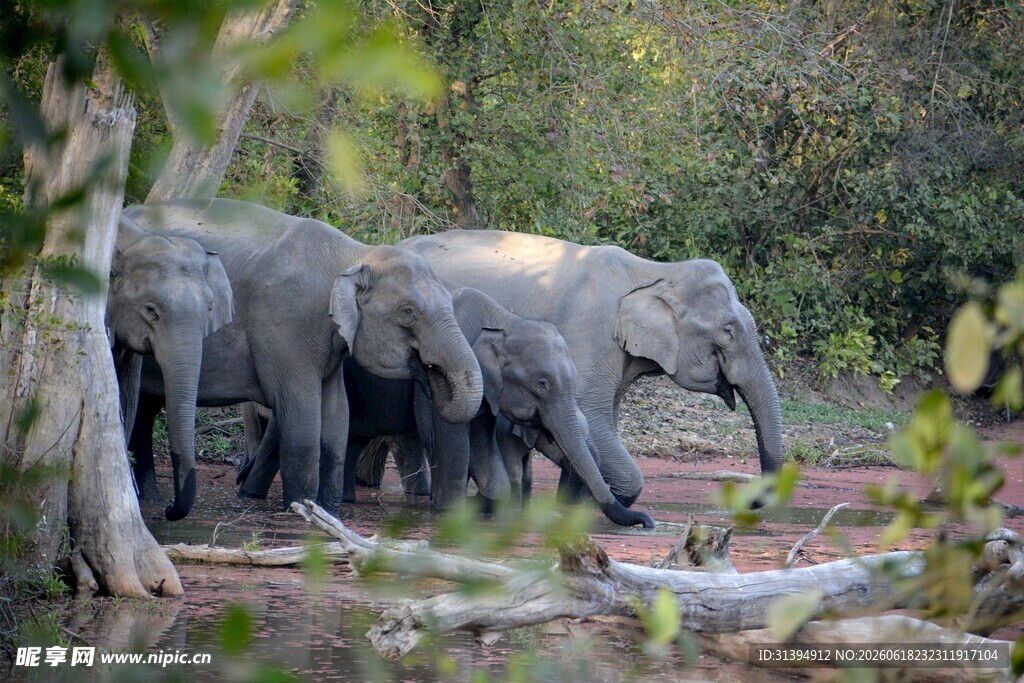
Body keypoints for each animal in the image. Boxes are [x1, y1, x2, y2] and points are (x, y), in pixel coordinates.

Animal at [122, 198, 483, 514]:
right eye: (408, 313)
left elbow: (337, 417)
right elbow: (302, 417)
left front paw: (330, 512)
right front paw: (302, 509)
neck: (354, 255)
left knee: (144, 410)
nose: (431, 372)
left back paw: (152, 501)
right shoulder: (287, 325)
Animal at [236, 284, 656, 528]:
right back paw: (252, 495)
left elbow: (483, 445)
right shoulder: (441, 371)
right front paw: (452, 512)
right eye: (542, 384)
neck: (504, 319)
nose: (648, 522)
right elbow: (450, 440)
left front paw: (492, 509)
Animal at [404, 230, 784, 508]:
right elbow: (593, 419)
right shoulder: (590, 334)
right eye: (727, 332)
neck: (656, 272)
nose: (751, 503)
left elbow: (603, 420)